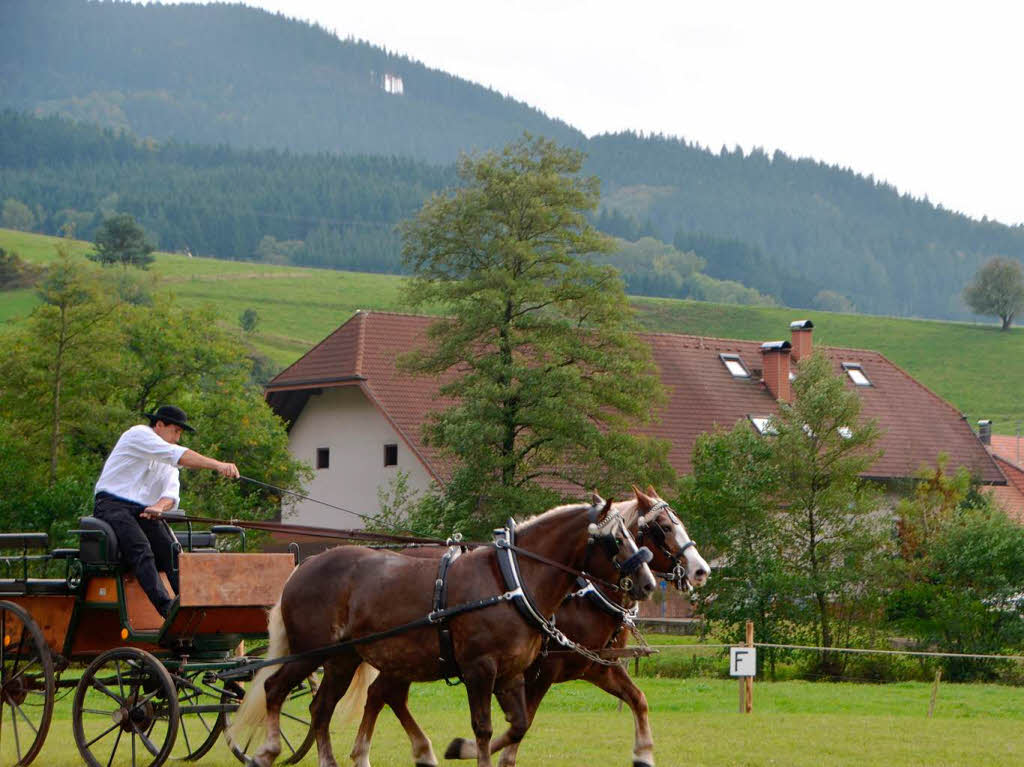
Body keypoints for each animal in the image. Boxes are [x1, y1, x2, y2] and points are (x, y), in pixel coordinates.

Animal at [226, 497, 655, 765]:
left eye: (634, 533)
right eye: (616, 538)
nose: (648, 583)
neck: (510, 580)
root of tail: (302, 568)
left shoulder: (514, 673)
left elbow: (517, 726)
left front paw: (458, 749)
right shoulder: (480, 670)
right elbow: (484, 728)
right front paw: (468, 749)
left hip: (343, 659)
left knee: (323, 707)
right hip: (311, 653)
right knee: (275, 689)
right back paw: (267, 750)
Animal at [358, 487, 704, 765]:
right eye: (664, 527)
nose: (701, 570)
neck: (583, 595)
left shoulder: (596, 667)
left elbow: (638, 699)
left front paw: (643, 754)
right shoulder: (541, 671)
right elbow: (521, 725)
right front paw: (470, 749)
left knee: (382, 694)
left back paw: (408, 752)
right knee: (384, 693)